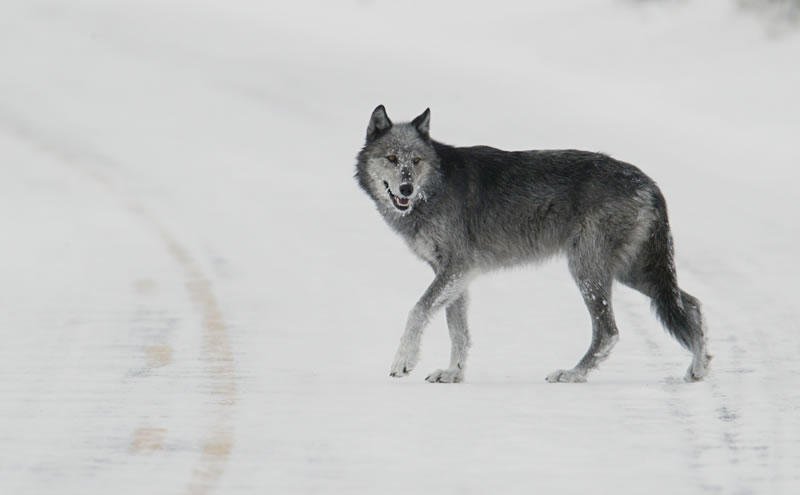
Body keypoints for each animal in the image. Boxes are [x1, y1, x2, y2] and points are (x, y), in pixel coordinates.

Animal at [355, 105, 711, 383]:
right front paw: (453, 373)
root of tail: (648, 182)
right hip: (632, 273)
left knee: (609, 332)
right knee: (692, 303)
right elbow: (458, 330)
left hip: (589, 271)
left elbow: (417, 310)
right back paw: (699, 368)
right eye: (391, 158)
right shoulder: (454, 274)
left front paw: (404, 361)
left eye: (415, 161)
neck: (435, 187)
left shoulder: (457, 267)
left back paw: (572, 374)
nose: (406, 189)